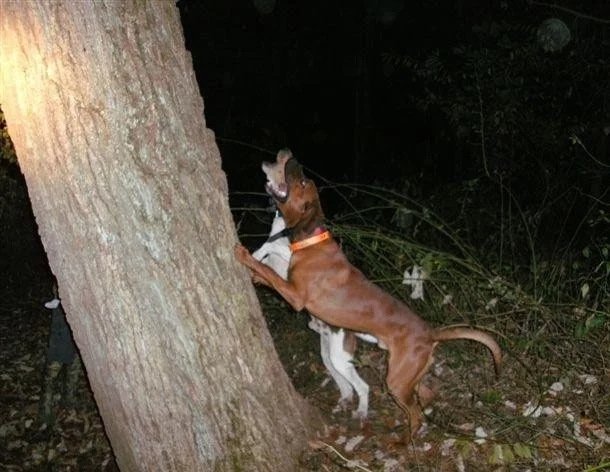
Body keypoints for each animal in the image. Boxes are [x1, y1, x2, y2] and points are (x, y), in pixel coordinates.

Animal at [251, 213, 376, 416]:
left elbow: (271, 249)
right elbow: (263, 262)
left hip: (339, 357)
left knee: (363, 386)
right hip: (329, 357)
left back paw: (361, 412)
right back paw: (343, 402)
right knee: (346, 386)